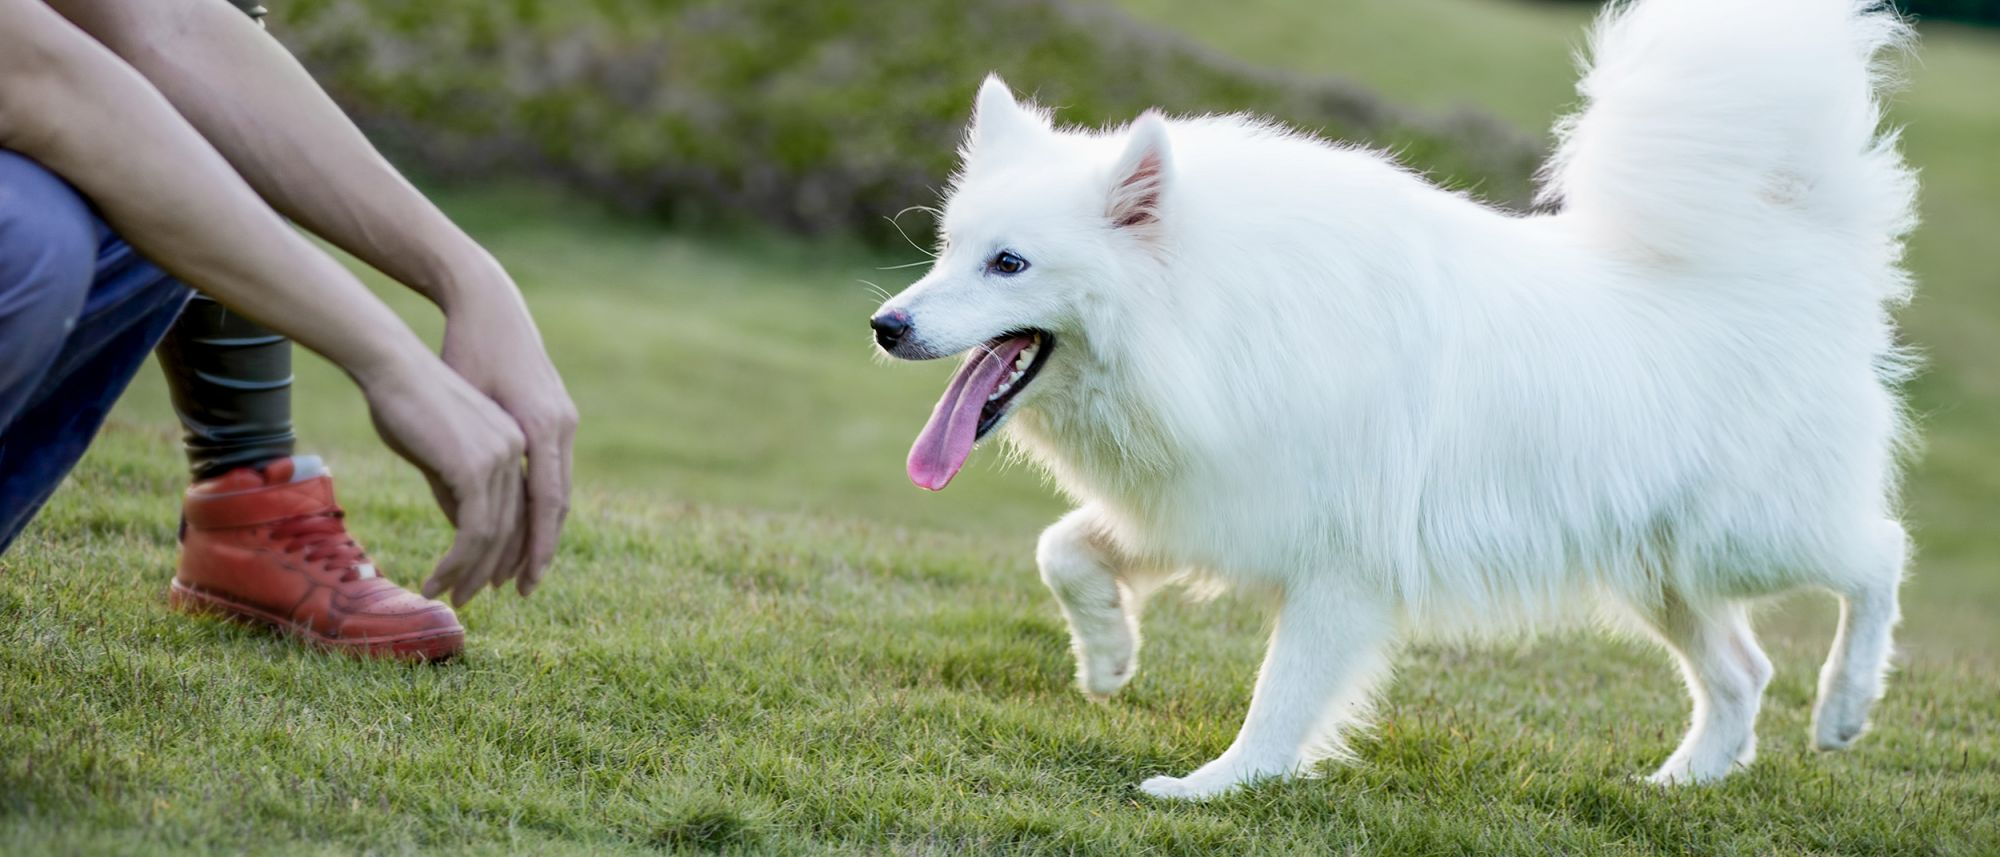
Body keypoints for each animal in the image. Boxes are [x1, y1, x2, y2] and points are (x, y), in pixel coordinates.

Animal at [872, 0, 1920, 800]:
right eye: (949, 249)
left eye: (1010, 264)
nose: (885, 325)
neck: (1216, 316)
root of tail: (1792, 258)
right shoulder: (1206, 501)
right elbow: (1064, 550)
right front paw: (1107, 658)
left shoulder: (1339, 571)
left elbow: (1280, 699)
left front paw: (1218, 786)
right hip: (1663, 565)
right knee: (1743, 670)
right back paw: (1683, 783)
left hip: (1752, 534)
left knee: (1878, 555)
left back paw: (1846, 708)